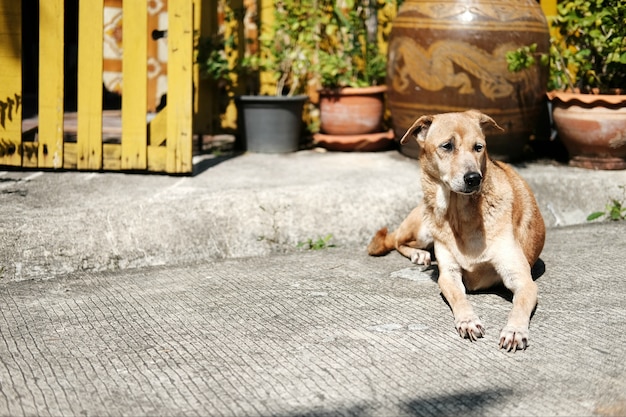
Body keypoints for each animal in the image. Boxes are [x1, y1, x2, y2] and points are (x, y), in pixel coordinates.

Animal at [368, 109, 544, 350]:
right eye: (447, 146)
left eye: (478, 147)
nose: (474, 178)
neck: (460, 214)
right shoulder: (448, 276)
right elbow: (459, 298)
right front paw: (468, 320)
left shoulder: (522, 278)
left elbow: (520, 305)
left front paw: (515, 330)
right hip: (424, 229)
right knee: (397, 241)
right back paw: (419, 255)